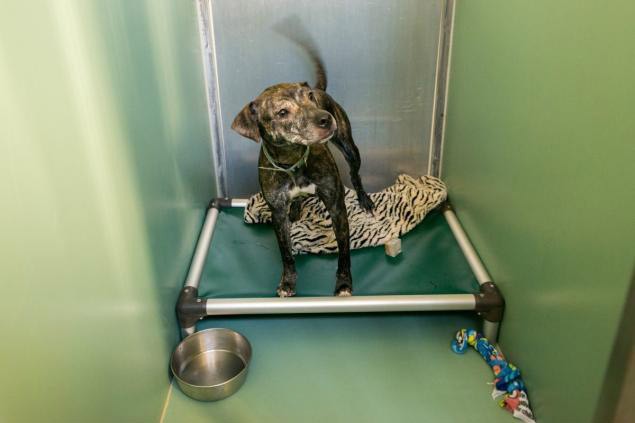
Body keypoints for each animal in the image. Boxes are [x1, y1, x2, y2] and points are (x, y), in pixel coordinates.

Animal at [232, 39, 372, 298]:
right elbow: (286, 254)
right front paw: (288, 282)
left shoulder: (336, 206)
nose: (325, 119)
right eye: (282, 112)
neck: (293, 160)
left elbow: (344, 251)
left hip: (349, 148)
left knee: (355, 174)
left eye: (309, 98)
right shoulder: (277, 213)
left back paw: (364, 199)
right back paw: (296, 208)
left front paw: (344, 283)